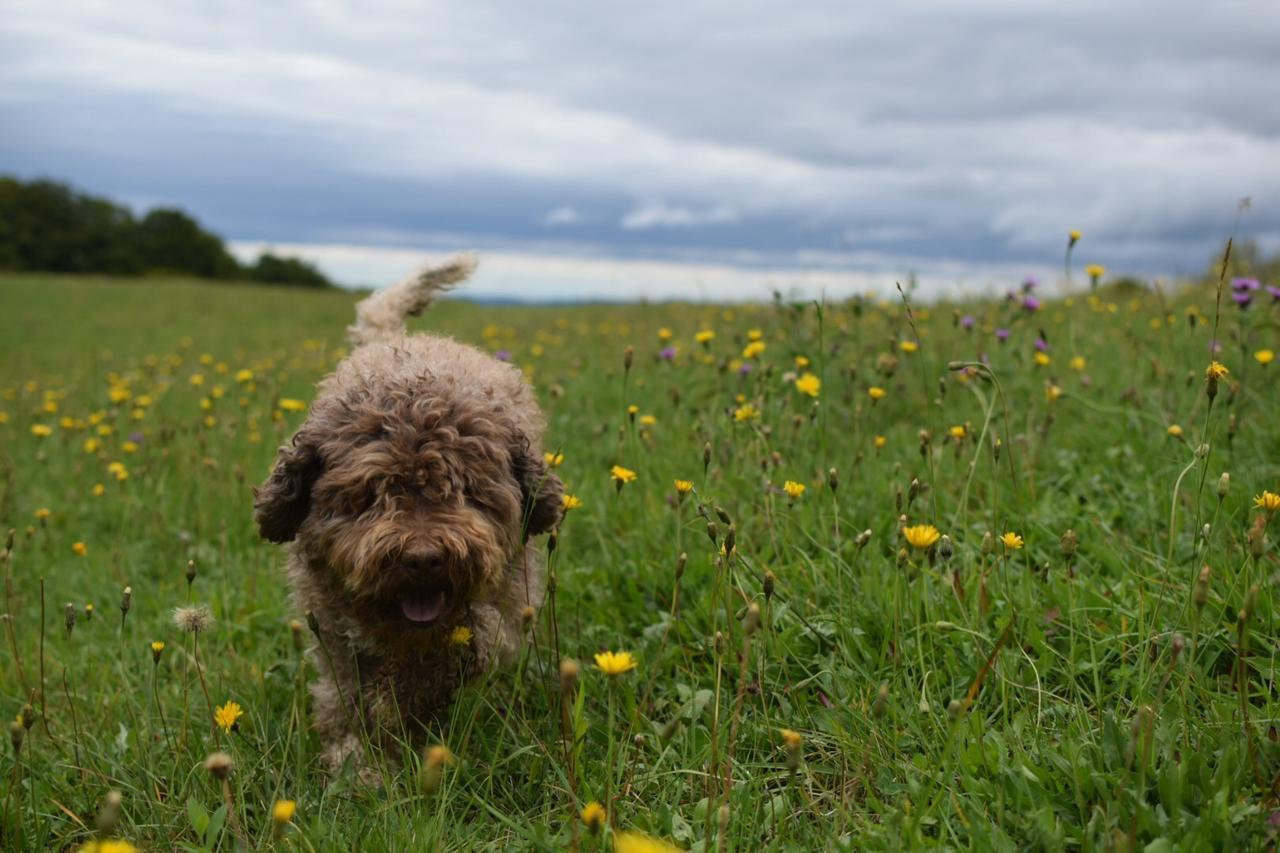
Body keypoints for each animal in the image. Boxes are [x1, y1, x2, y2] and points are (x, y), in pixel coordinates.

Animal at [254, 253, 560, 768]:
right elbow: (345, 692)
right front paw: (356, 757)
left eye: (466, 490)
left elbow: (463, 650)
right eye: (369, 495)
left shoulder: (503, 601)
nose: (422, 559)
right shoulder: (331, 623)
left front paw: (400, 712)